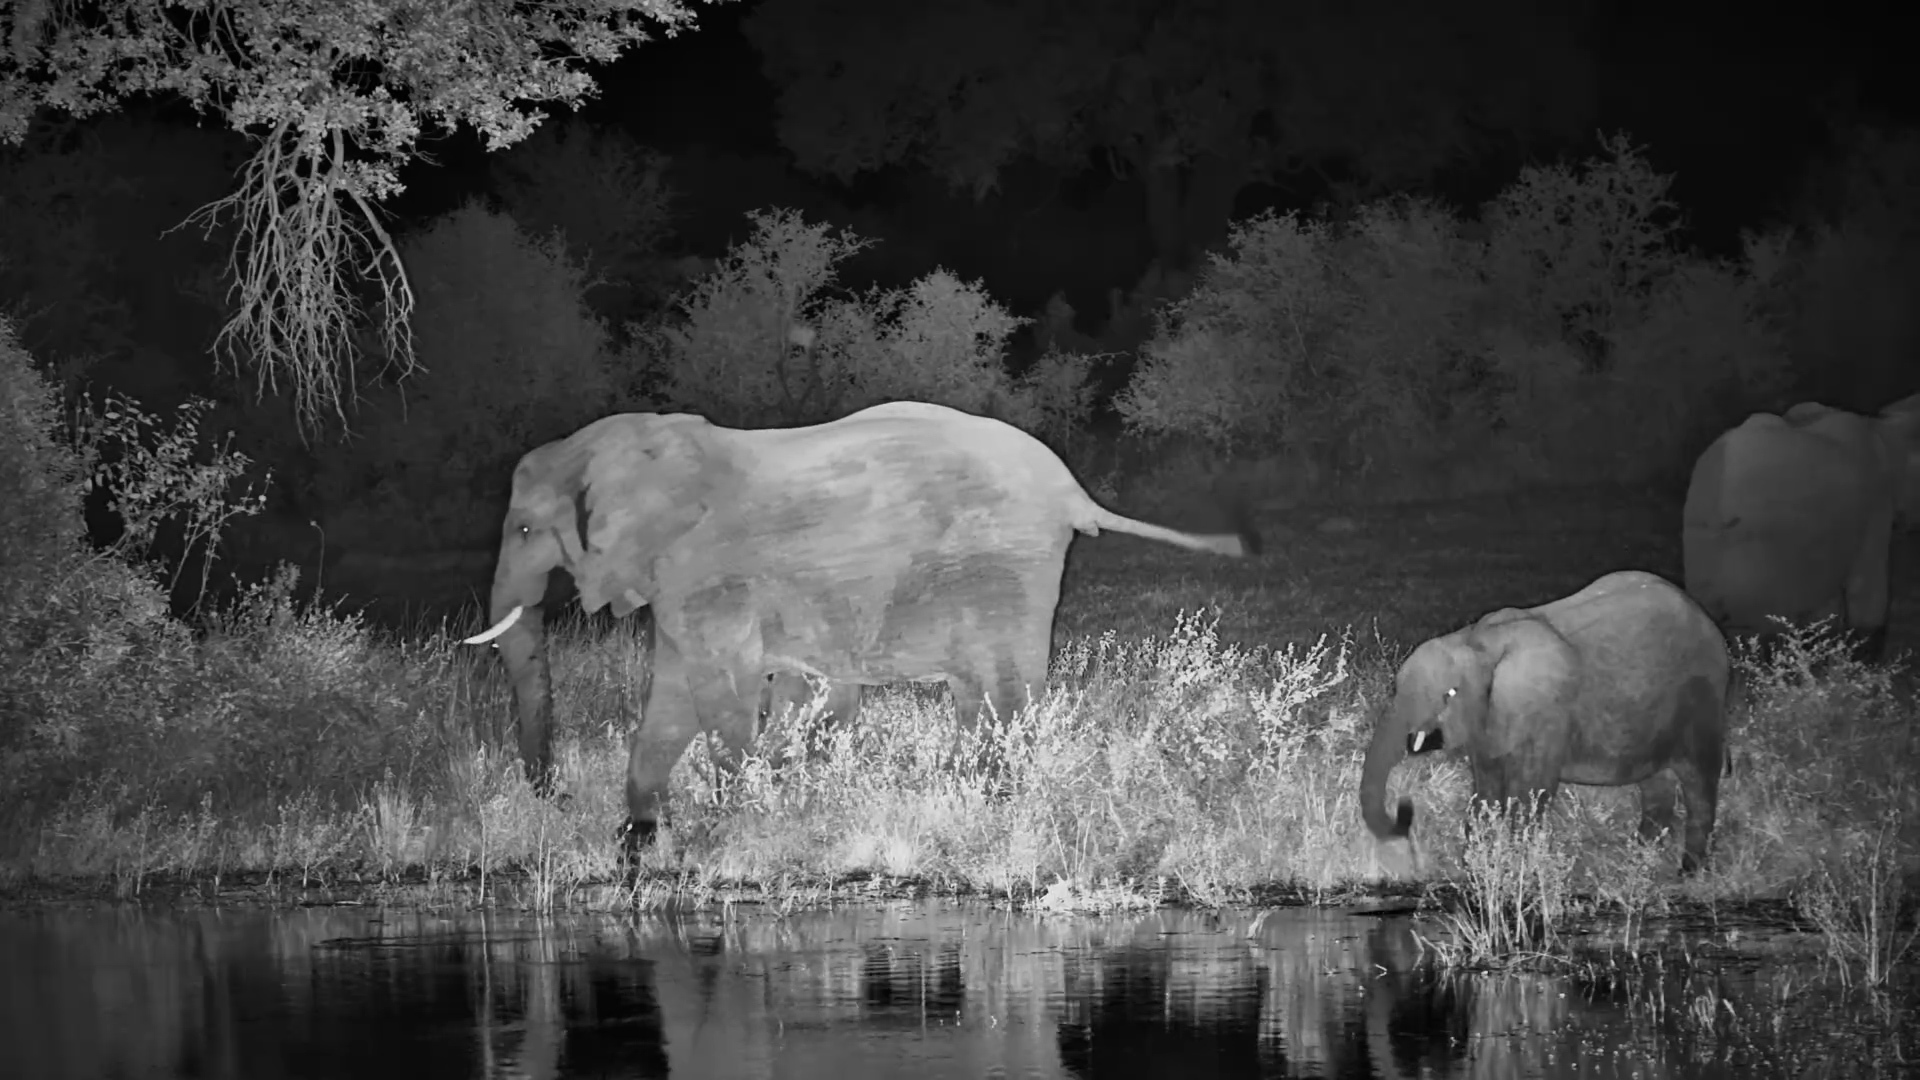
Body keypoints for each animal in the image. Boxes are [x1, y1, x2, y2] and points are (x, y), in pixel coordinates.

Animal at [463, 400, 1258, 853]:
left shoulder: (705, 573)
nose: (556, 796)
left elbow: (716, 693)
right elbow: (676, 697)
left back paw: (1001, 804)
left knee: (1004, 691)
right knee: (979, 693)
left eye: (526, 528)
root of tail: (1073, 490)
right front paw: (639, 837)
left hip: (1007, 571)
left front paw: (723, 828)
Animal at [1359, 570, 1731, 875]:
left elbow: (1530, 796)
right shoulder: (1490, 722)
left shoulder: (1548, 714)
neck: (1478, 642)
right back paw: (1638, 859)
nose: (1405, 808)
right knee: (1657, 783)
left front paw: (1516, 873)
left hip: (1704, 698)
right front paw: (1476, 872)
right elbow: (1486, 793)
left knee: (1699, 782)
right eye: (1396, 686)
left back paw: (1688, 872)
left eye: (1449, 694)